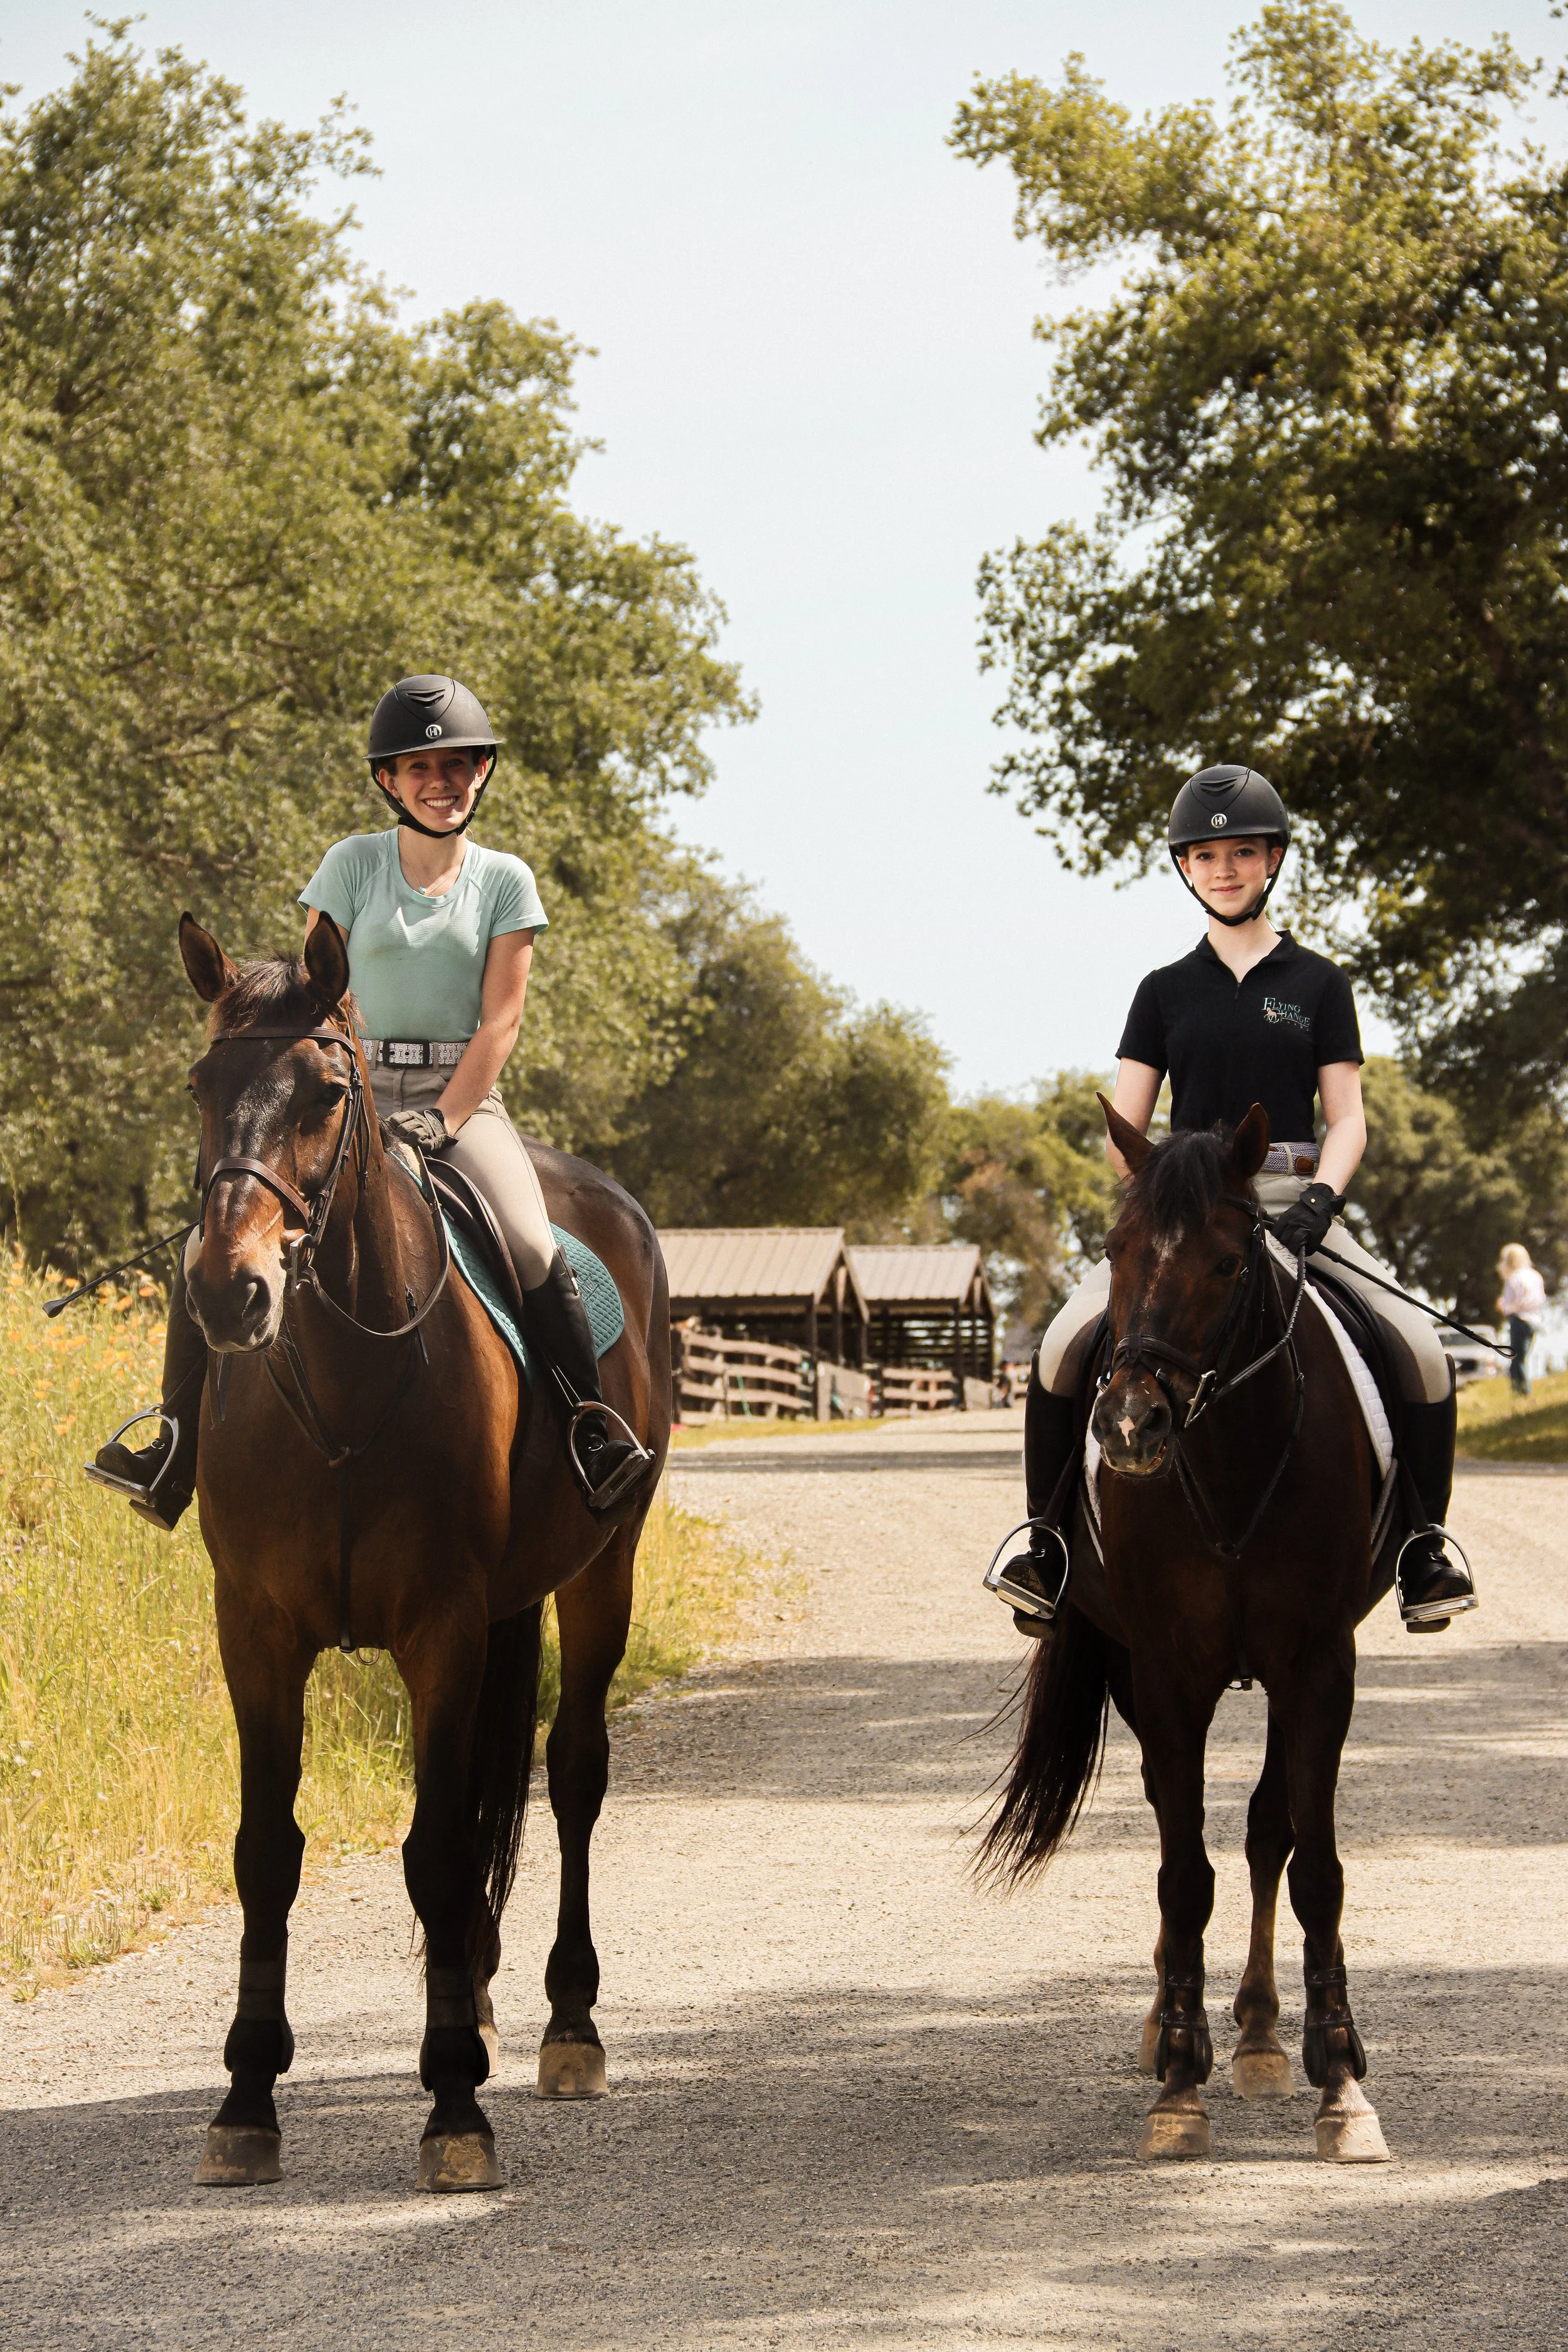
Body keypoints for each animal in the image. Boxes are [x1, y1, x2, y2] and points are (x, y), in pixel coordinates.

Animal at [174, 911, 671, 2192]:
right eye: (203, 1086)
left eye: (323, 1093)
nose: (230, 1292)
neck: (346, 1384)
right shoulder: (254, 1629)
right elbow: (269, 1851)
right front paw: (245, 2101)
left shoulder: (440, 1628)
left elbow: (439, 1848)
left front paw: (456, 2108)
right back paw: (481, 1995)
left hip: (602, 1573)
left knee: (575, 1772)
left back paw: (565, 2027)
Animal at [985, 1097, 1393, 2163]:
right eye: (1117, 1249)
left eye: (1226, 1260)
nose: (1131, 1426)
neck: (1234, 1458)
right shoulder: (1168, 1670)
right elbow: (1183, 1874)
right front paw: (1177, 2079)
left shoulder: (1318, 1665)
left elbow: (1313, 1865)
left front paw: (1343, 2085)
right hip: (1134, 1669)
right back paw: (1177, 2021)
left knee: (1265, 1832)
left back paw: (1257, 2034)